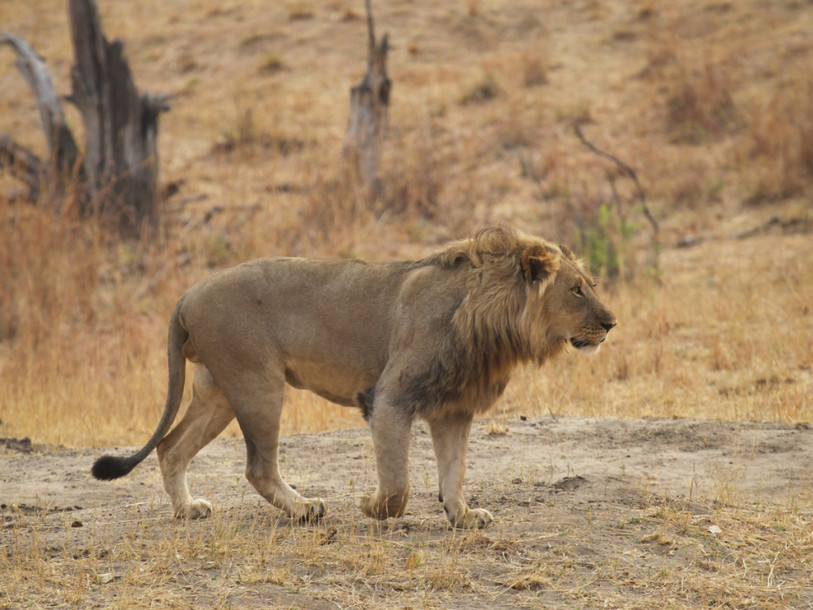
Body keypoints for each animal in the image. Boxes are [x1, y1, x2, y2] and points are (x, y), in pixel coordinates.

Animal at [92, 226, 616, 529]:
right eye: (575, 290)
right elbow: (399, 483)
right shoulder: (389, 398)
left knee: (170, 446)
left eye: (590, 285)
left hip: (218, 390)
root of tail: (186, 295)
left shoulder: (453, 408)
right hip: (258, 384)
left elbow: (454, 471)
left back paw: (187, 510)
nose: (611, 323)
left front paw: (462, 515)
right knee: (257, 466)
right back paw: (304, 509)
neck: (491, 319)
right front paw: (371, 506)